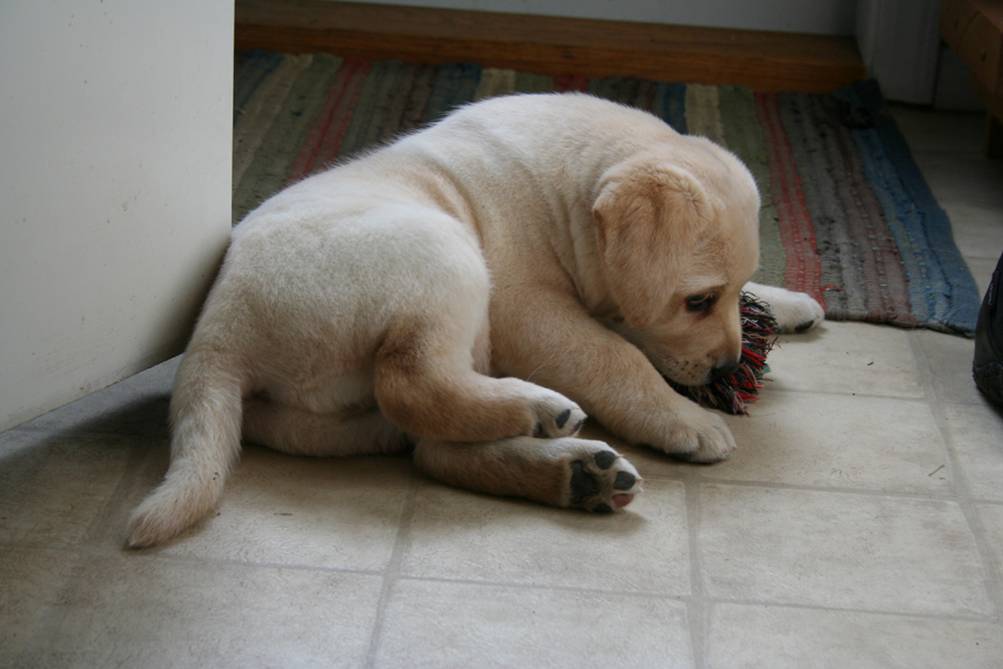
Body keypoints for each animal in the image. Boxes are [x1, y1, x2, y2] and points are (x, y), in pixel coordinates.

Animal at [127, 91, 822, 545]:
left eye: (722, 294)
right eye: (697, 300)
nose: (729, 368)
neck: (565, 197)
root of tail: (218, 337)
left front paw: (784, 305)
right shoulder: (526, 310)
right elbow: (612, 356)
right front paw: (685, 419)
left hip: (331, 420)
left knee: (433, 452)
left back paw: (575, 473)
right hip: (445, 257)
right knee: (413, 383)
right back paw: (544, 411)